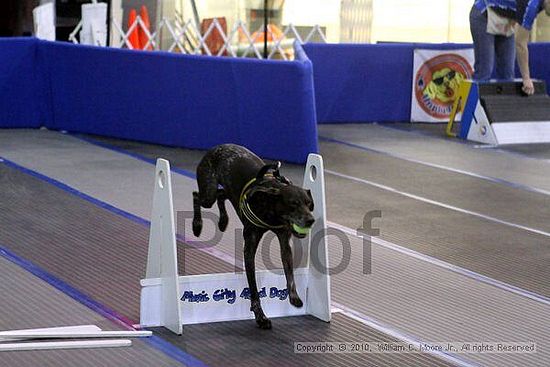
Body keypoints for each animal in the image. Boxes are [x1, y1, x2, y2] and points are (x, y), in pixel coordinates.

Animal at [193, 144, 314, 330]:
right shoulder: (249, 248)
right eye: (293, 204)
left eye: (309, 204)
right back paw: (197, 224)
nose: (310, 220)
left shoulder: (284, 242)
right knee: (197, 196)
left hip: (225, 192)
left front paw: (294, 297)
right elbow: (254, 288)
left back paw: (223, 221)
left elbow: (290, 274)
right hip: (208, 192)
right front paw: (261, 317)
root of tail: (218, 147)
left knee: (221, 195)